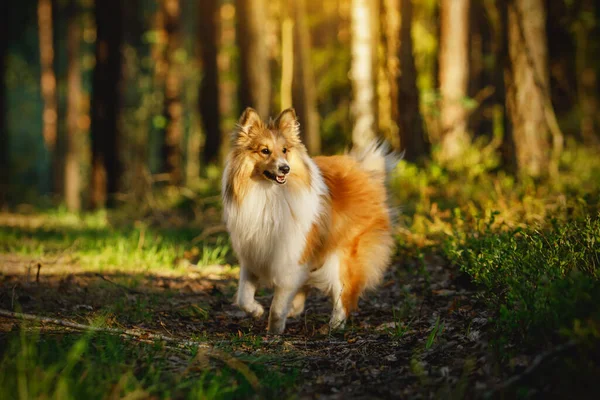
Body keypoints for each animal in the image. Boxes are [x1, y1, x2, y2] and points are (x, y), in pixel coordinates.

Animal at [223, 107, 396, 334]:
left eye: (285, 150)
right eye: (265, 151)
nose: (285, 168)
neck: (269, 194)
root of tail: (365, 171)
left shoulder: (291, 256)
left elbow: (277, 306)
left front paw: (274, 331)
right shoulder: (252, 254)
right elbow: (243, 297)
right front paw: (257, 310)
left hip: (342, 256)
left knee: (343, 294)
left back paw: (335, 325)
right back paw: (294, 310)